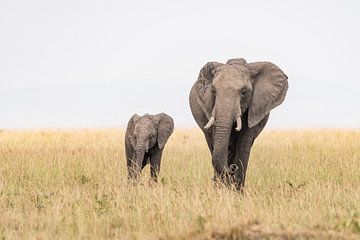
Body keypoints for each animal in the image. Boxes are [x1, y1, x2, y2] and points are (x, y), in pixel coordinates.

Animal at [190, 58, 288, 189]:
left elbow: (244, 145)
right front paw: (222, 189)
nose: (232, 168)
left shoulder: (254, 107)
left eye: (244, 92)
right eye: (213, 91)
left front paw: (237, 191)